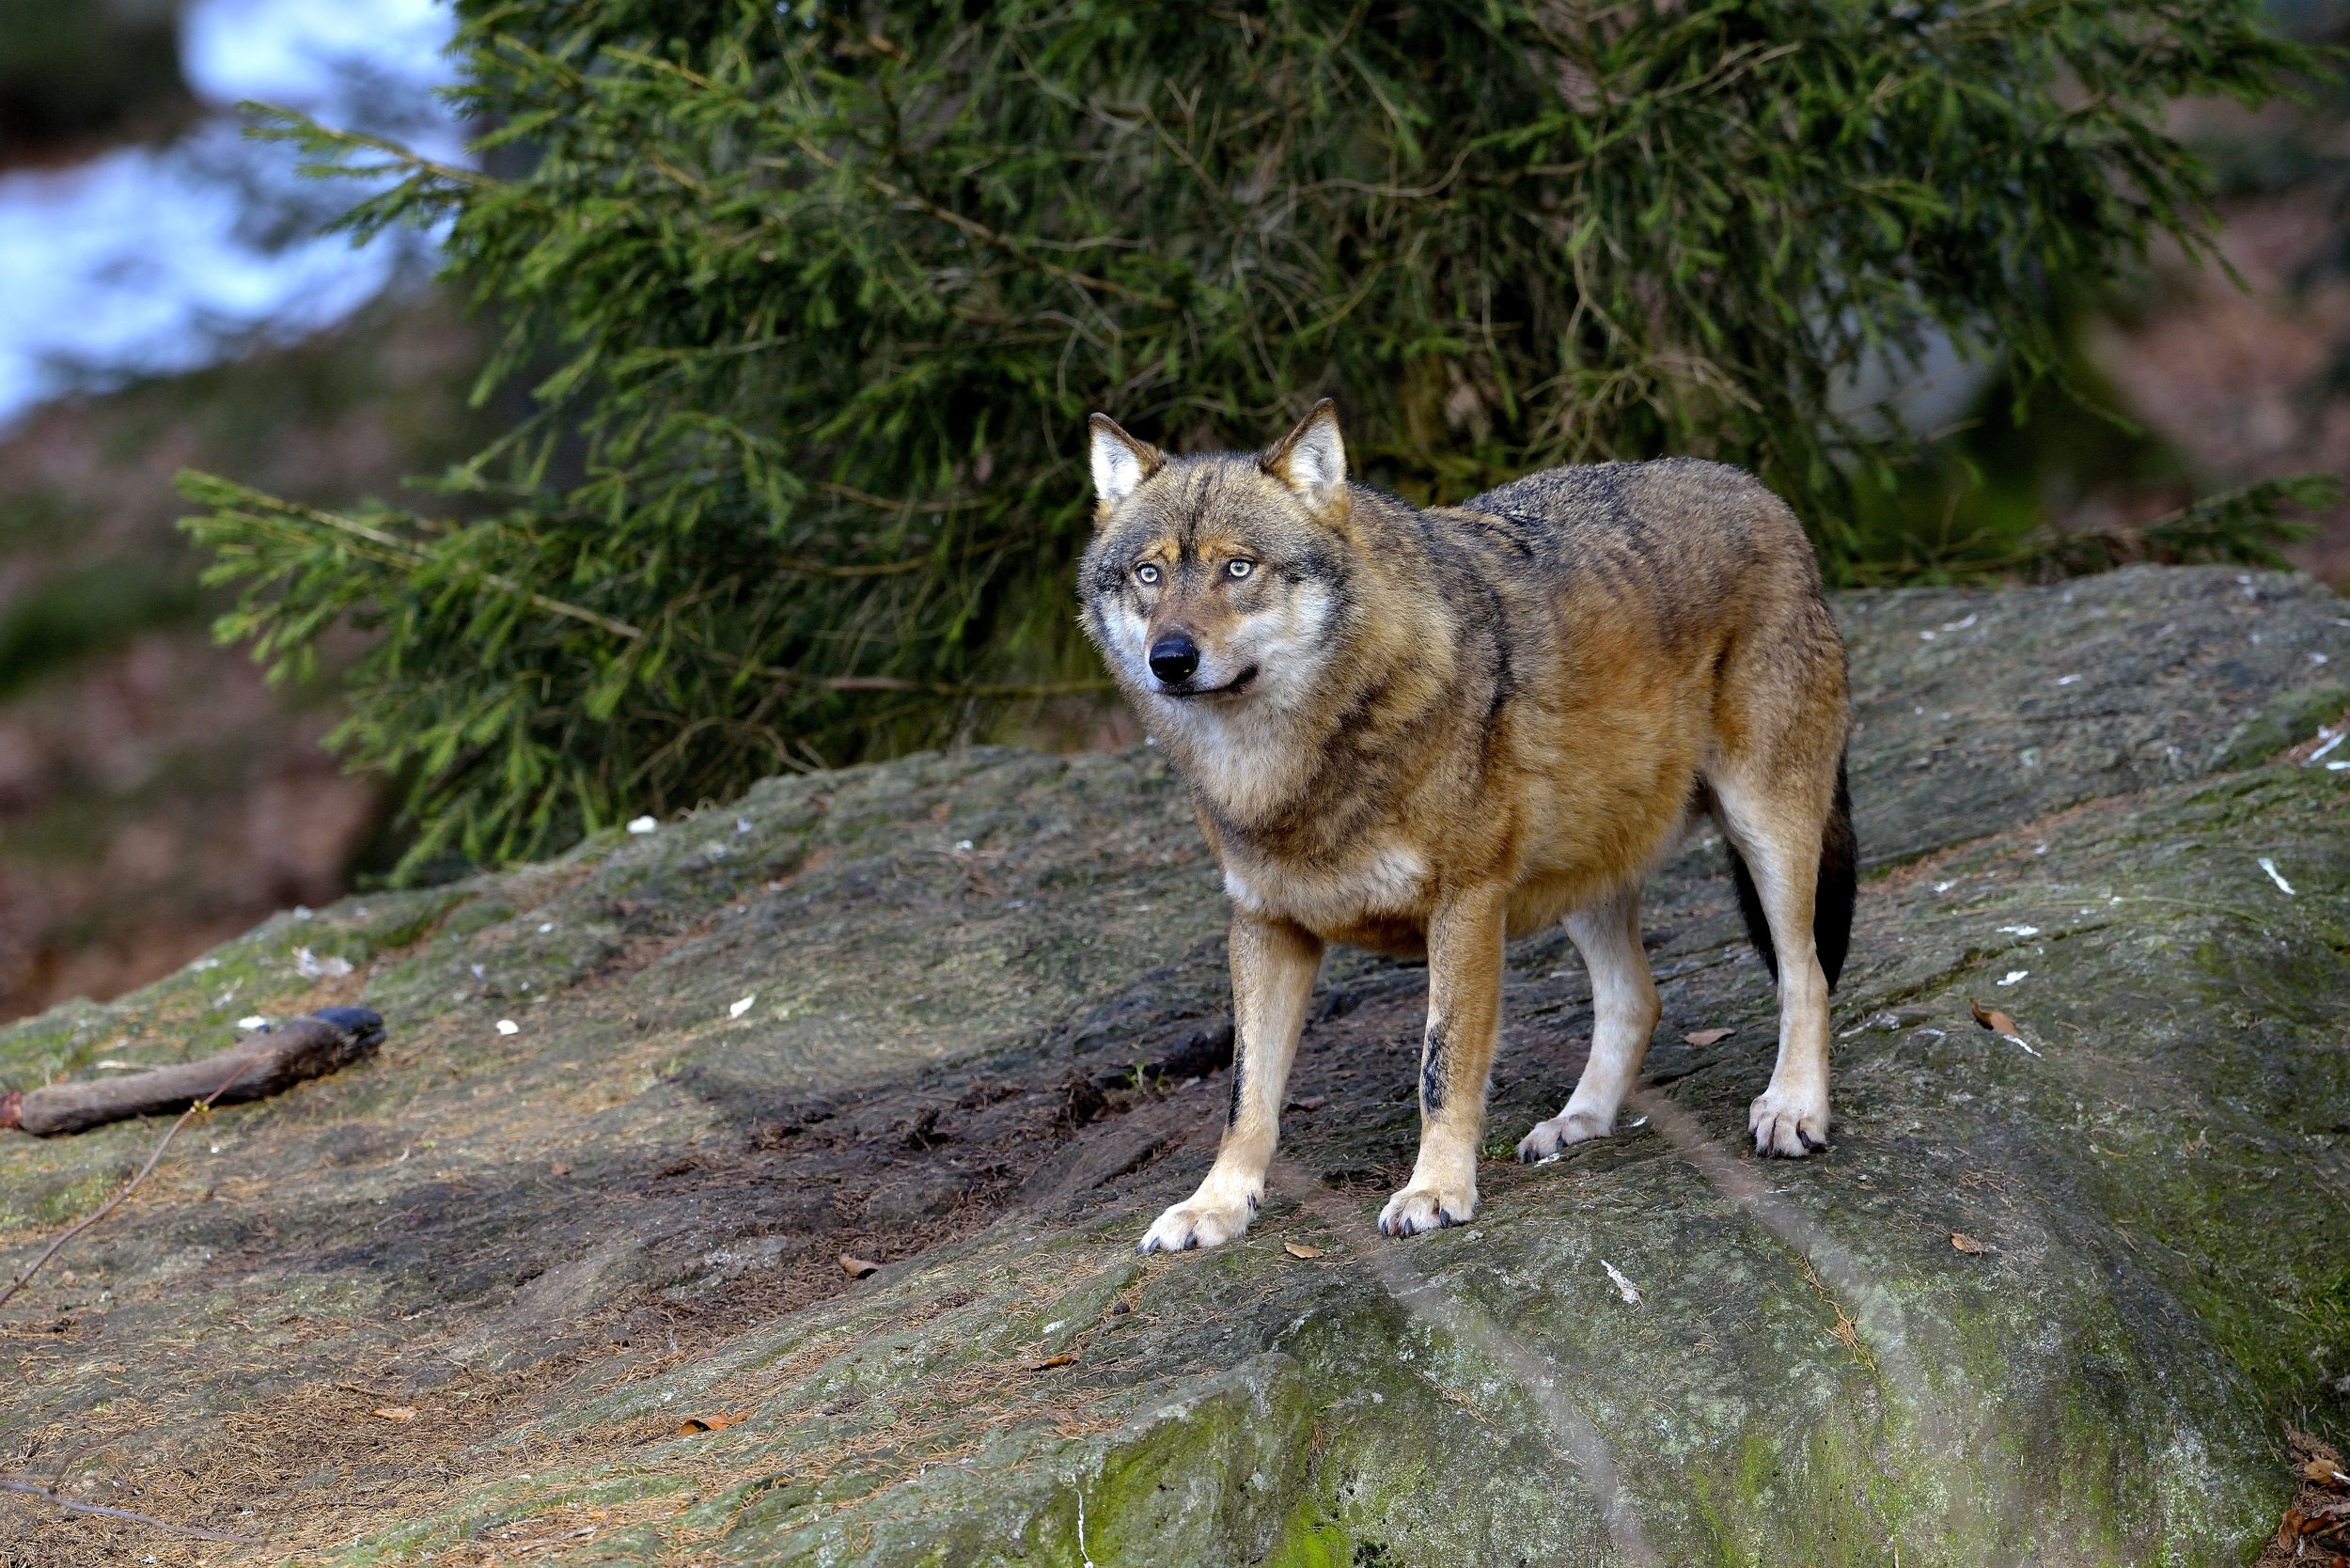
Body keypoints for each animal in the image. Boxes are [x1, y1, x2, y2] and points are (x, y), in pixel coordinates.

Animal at [1076, 401, 1852, 1250]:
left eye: (1238, 569)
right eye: (1150, 574)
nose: (1171, 659)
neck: (1281, 770)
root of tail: (1762, 492)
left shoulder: (1468, 902)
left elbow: (1440, 1069)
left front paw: (1435, 1191)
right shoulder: (1264, 924)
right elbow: (1246, 1096)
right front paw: (1216, 1204)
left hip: (1764, 829)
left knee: (1805, 971)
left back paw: (1793, 1109)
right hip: (1586, 878)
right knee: (1637, 999)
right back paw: (1578, 1122)